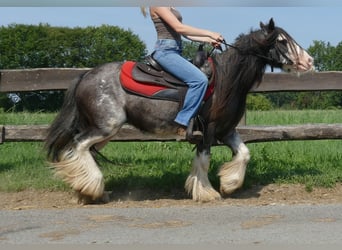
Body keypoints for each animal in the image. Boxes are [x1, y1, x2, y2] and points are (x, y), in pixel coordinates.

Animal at [44, 19, 314, 203]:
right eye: (281, 41)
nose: (309, 61)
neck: (226, 79)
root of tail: (86, 75)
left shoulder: (227, 130)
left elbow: (244, 154)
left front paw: (230, 184)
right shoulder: (209, 130)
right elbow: (204, 160)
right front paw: (206, 192)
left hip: (103, 131)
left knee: (81, 150)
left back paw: (85, 191)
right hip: (105, 126)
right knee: (78, 145)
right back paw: (92, 188)